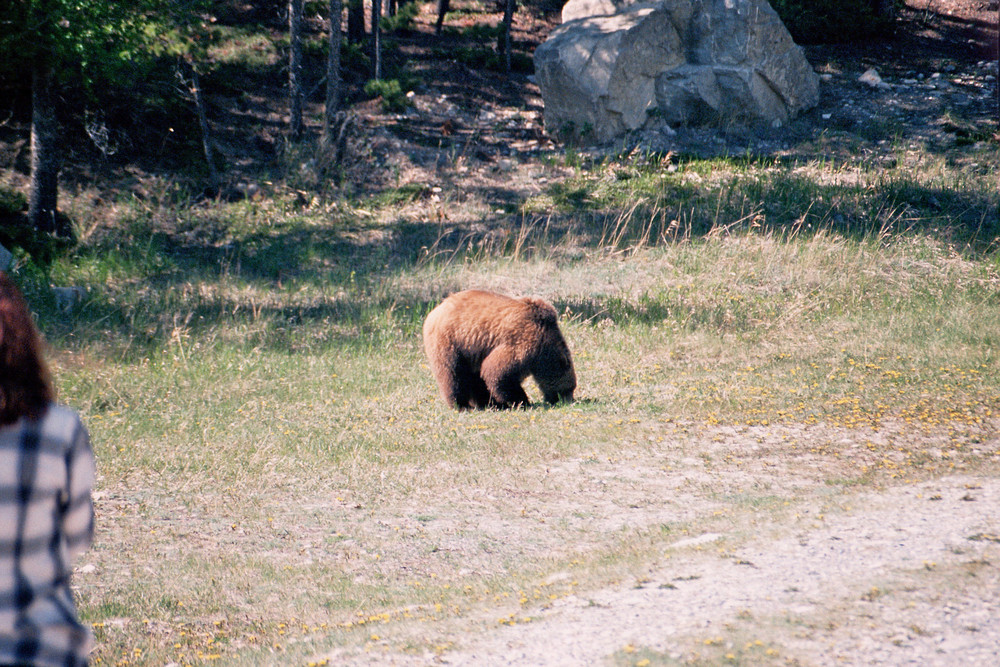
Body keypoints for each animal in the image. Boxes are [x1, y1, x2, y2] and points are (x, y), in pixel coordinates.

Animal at [422, 290, 580, 410]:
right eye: (570, 388)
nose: (570, 401)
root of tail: (433, 312)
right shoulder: (524, 341)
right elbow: (498, 372)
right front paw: (522, 401)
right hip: (450, 341)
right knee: (453, 374)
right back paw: (461, 405)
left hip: (470, 351)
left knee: (474, 378)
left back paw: (487, 403)